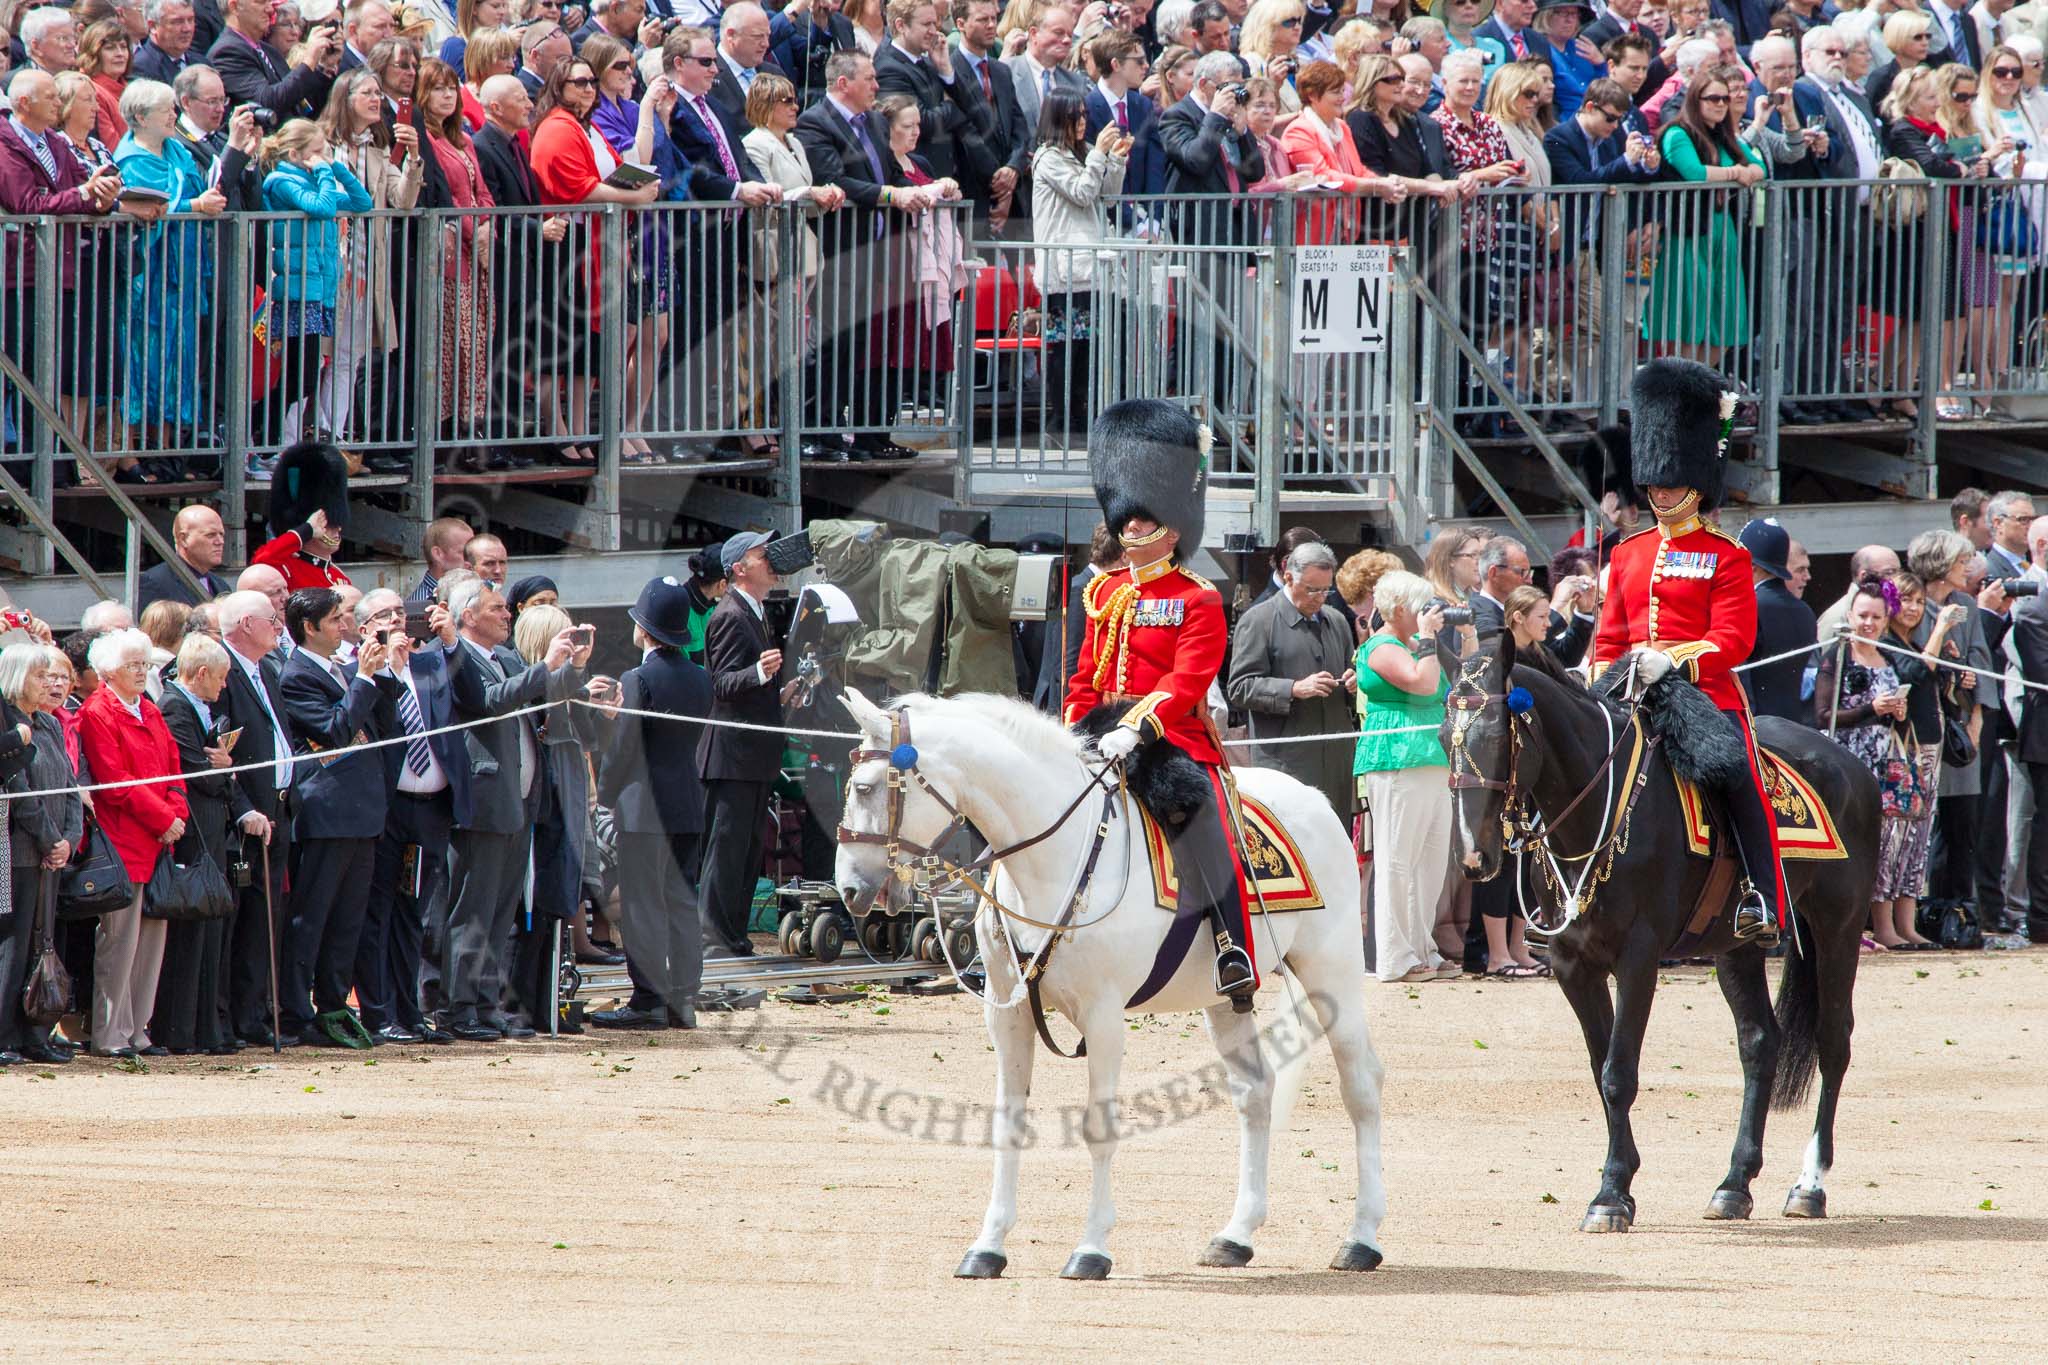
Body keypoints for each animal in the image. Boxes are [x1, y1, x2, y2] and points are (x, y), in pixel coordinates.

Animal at [835, 695, 1392, 1285]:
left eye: (865, 787)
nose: (849, 889)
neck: (1052, 861)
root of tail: (1317, 799)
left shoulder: (1102, 1018)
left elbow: (1098, 1126)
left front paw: (1091, 1248)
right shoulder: (1007, 1017)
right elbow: (1008, 1122)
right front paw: (988, 1246)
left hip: (1332, 972)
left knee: (1361, 1086)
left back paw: (1361, 1238)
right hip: (1225, 999)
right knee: (1255, 1093)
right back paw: (1236, 1235)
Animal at [1441, 634, 1875, 1236]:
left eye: (1499, 736)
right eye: (1443, 738)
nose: (1473, 859)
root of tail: (1850, 763)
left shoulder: (1638, 959)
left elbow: (1619, 1073)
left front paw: (1609, 1194)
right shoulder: (1573, 966)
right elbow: (1601, 1070)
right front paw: (1619, 1185)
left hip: (1839, 926)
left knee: (1833, 1043)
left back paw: (1809, 1185)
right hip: (1734, 947)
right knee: (1760, 1042)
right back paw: (1734, 1184)